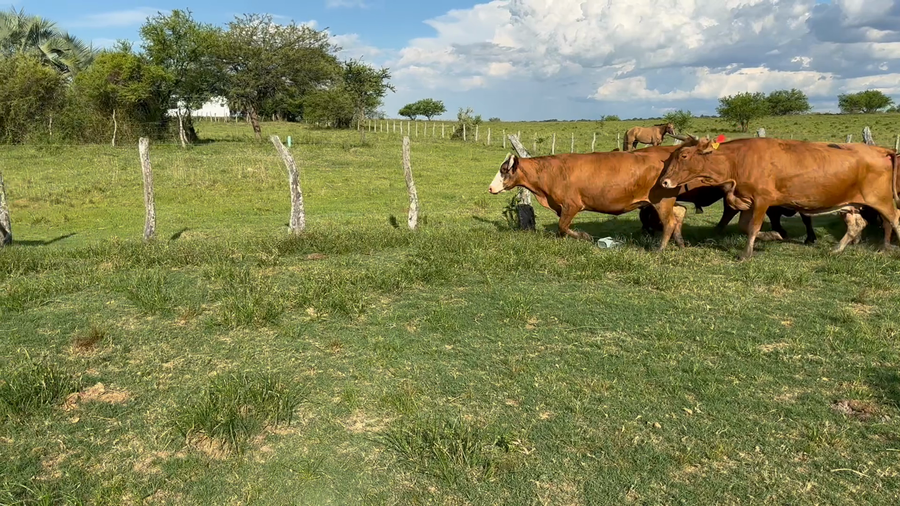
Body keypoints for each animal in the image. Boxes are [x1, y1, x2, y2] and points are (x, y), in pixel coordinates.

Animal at [487, 149, 687, 250]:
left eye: (504, 170)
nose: (490, 187)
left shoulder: (571, 205)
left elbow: (563, 226)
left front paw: (584, 236)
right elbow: (562, 228)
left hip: (661, 201)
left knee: (669, 222)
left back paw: (660, 249)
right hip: (666, 201)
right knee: (680, 212)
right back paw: (680, 242)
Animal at [658, 136, 900, 259]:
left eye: (684, 155)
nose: (664, 182)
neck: (737, 160)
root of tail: (880, 150)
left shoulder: (762, 201)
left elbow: (753, 227)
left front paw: (746, 254)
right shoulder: (747, 202)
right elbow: (745, 227)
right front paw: (774, 235)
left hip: (881, 201)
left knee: (895, 219)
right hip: (850, 205)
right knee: (856, 224)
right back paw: (837, 249)